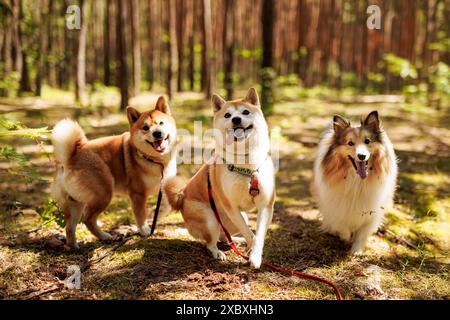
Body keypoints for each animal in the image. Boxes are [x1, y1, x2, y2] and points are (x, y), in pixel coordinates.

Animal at [51, 96, 178, 249]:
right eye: (146, 128)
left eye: (161, 123)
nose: (157, 133)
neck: (156, 161)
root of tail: (71, 156)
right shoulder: (138, 194)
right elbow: (140, 215)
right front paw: (145, 230)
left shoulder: (163, 188)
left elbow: (164, 207)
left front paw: (157, 218)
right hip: (104, 193)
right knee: (88, 219)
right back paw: (104, 236)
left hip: (76, 202)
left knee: (70, 227)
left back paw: (74, 247)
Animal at [312, 111, 398, 254]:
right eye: (350, 143)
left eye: (367, 141)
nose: (361, 156)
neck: (357, 181)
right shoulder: (335, 207)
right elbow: (341, 224)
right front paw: (345, 237)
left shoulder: (371, 213)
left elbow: (362, 233)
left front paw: (356, 251)